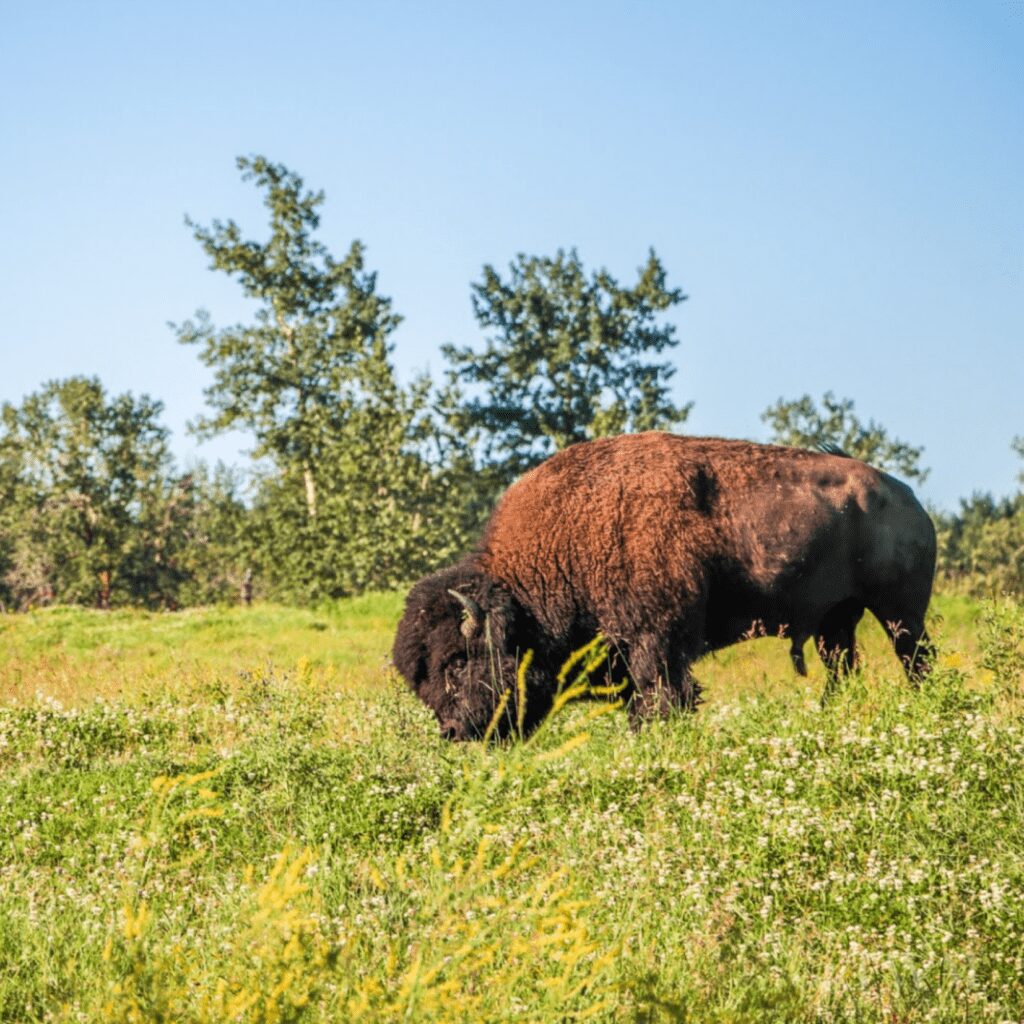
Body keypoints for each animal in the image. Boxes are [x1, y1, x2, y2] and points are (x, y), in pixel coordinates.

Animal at [391, 430, 937, 737]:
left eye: (457, 661)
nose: (452, 731)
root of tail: (907, 497)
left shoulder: (655, 640)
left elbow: (660, 694)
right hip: (835, 623)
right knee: (844, 669)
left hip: (900, 613)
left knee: (916, 659)